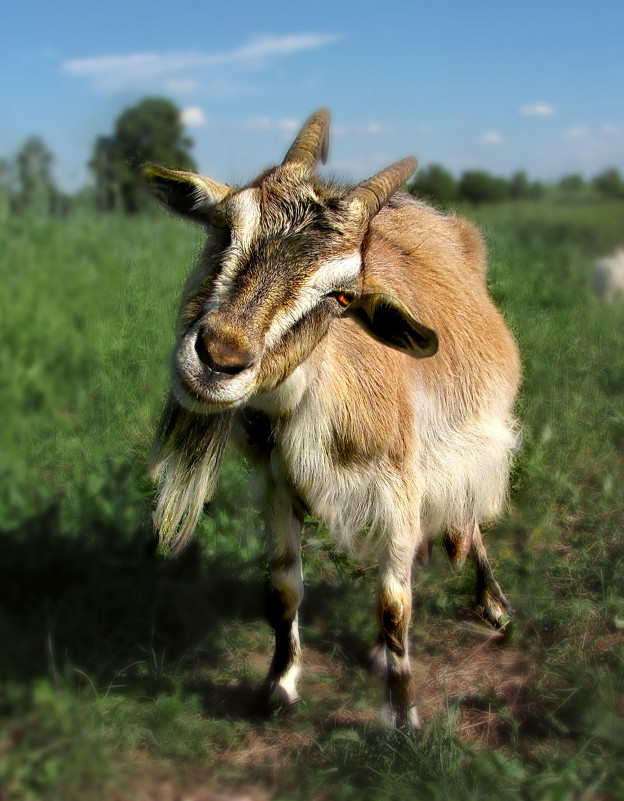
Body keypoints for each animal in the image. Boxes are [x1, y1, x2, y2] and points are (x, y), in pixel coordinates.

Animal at [144, 109, 520, 728]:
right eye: (223, 228)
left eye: (343, 297)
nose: (219, 357)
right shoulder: (276, 485)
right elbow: (283, 591)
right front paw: (278, 687)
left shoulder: (400, 487)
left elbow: (394, 605)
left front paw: (403, 717)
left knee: (470, 509)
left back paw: (493, 605)